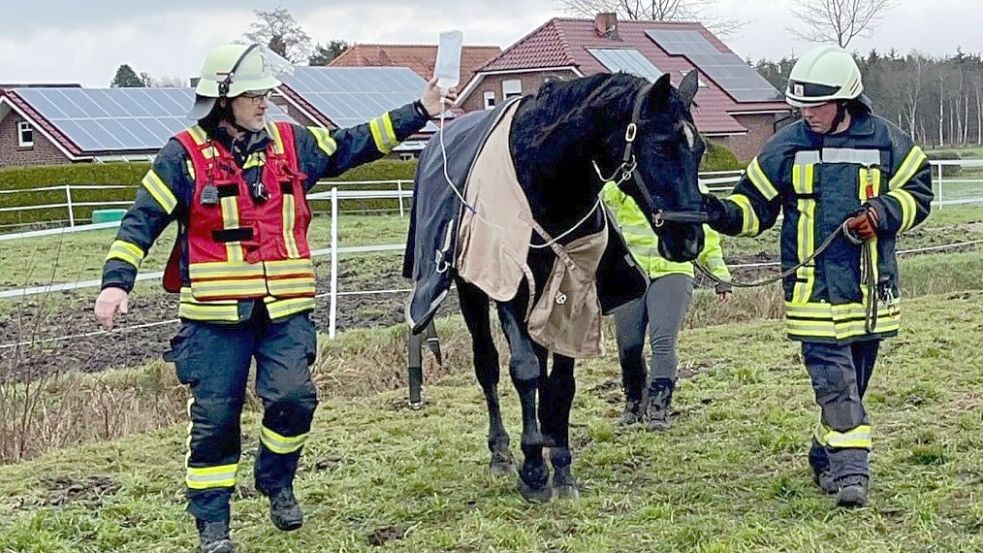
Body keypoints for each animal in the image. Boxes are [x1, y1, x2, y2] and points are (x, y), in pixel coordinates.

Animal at [408, 70, 708, 500]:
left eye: (699, 149)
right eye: (661, 145)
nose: (690, 240)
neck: (546, 183)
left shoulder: (574, 287)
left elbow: (561, 382)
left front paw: (561, 464)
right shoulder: (510, 290)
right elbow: (524, 370)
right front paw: (533, 469)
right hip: (472, 292)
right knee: (488, 365)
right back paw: (501, 453)